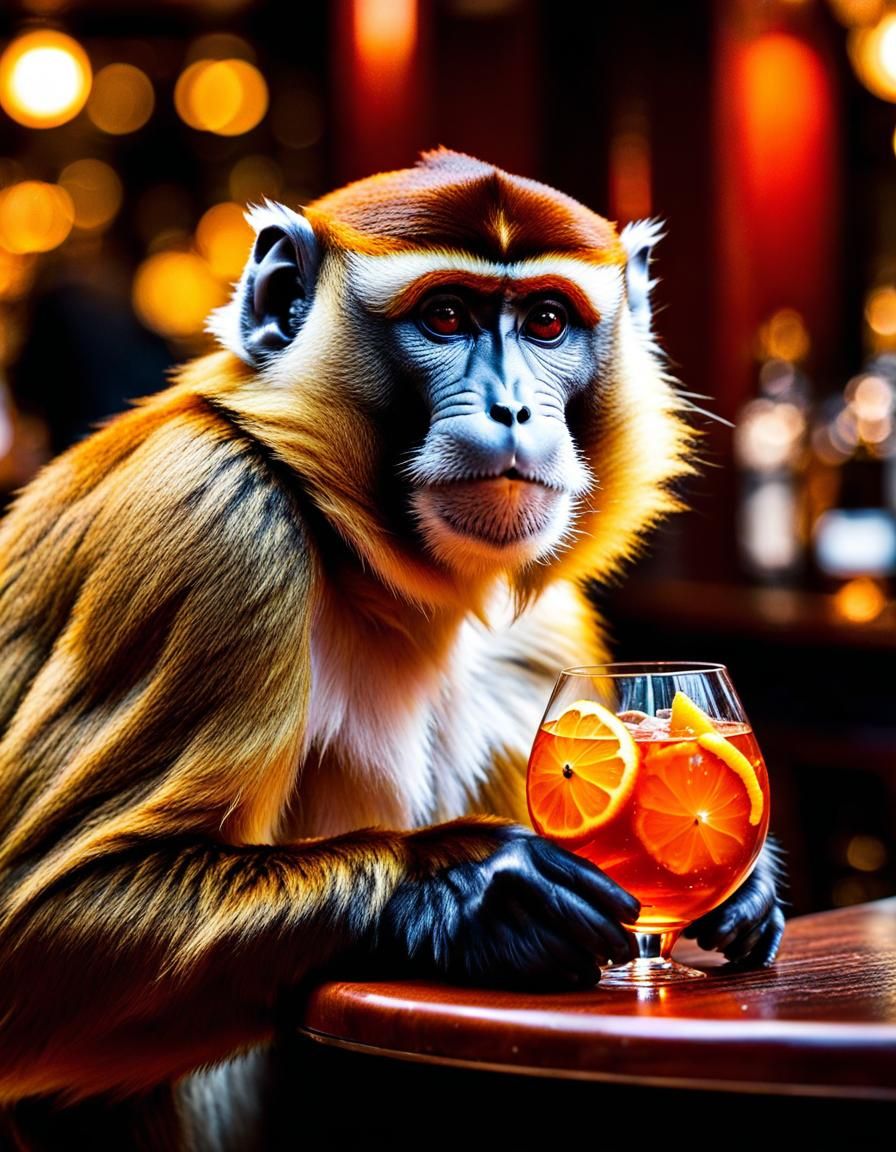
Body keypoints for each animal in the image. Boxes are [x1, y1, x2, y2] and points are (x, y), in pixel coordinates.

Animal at [0, 149, 784, 1149]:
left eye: (547, 320)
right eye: (445, 316)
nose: (514, 407)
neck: (384, 576)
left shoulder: (540, 627)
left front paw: (742, 889)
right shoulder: (216, 524)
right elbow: (41, 927)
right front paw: (480, 886)